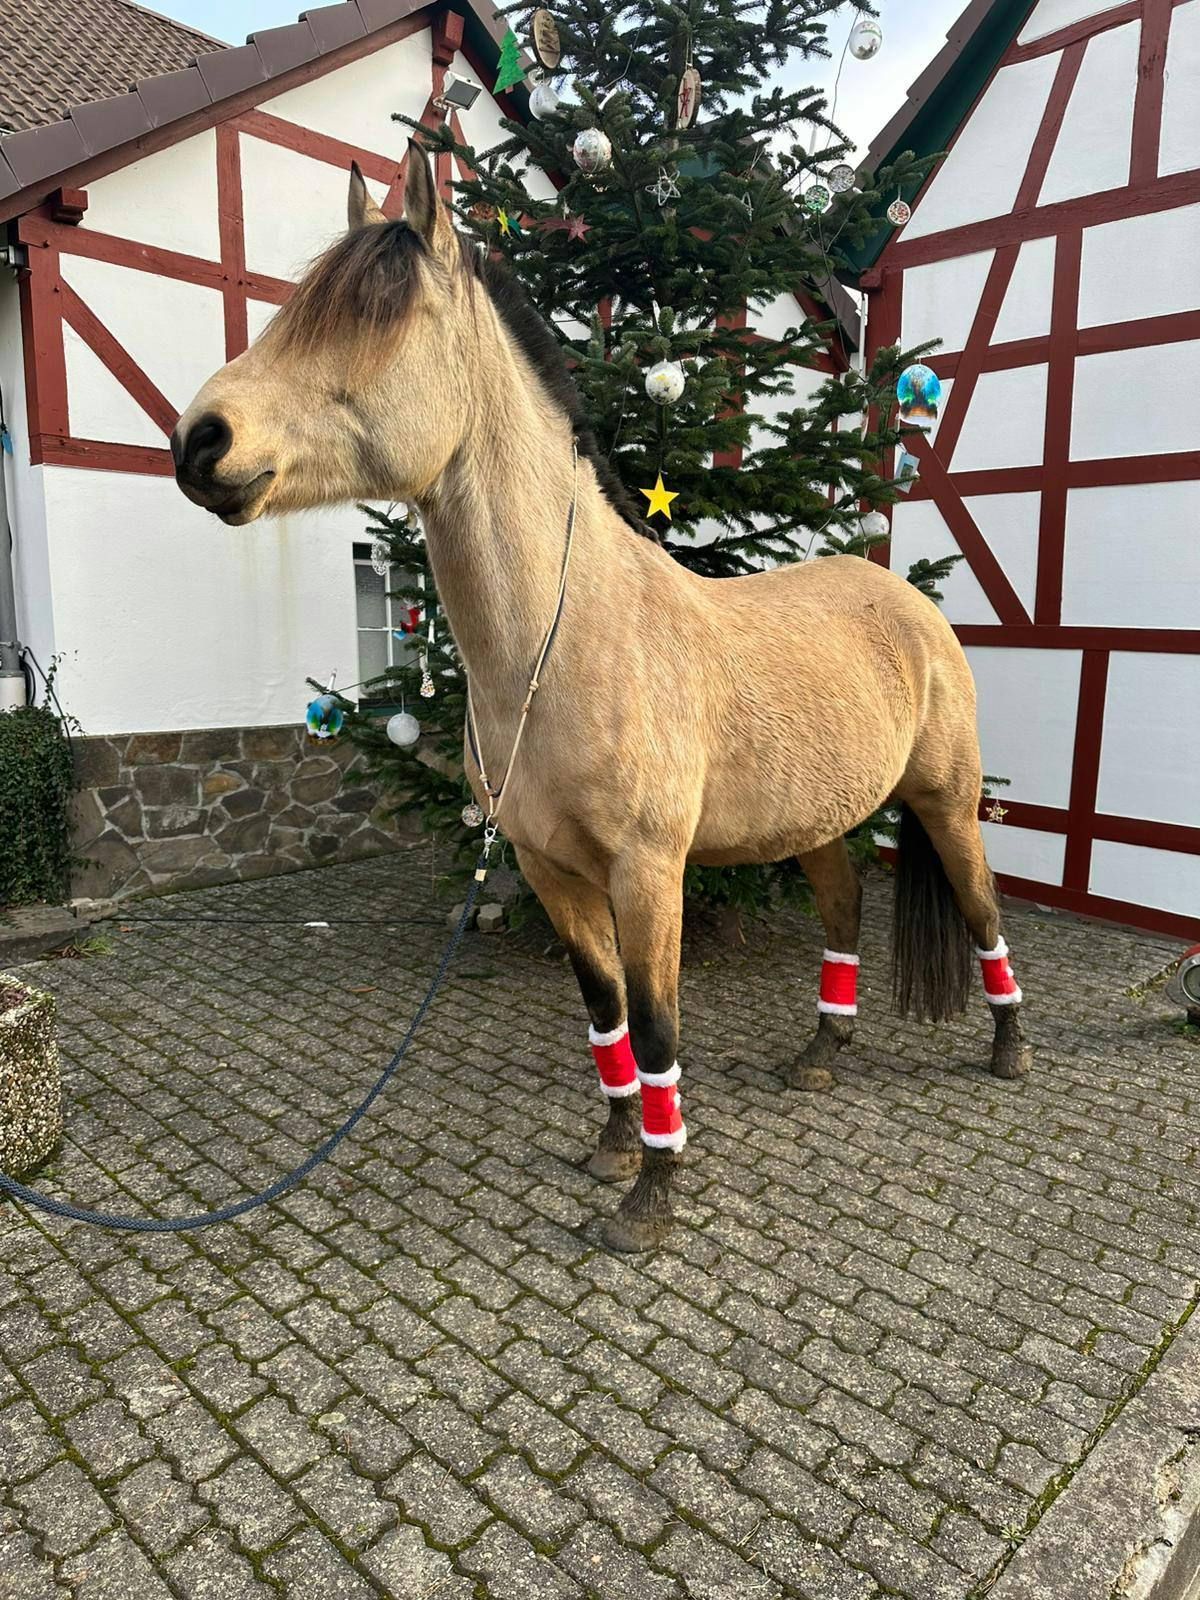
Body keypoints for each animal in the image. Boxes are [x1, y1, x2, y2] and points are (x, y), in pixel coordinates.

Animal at [172, 143, 1032, 1254]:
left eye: (374, 315)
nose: (200, 442)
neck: (566, 642)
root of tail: (909, 603)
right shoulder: (550, 871)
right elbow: (605, 1012)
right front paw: (617, 1148)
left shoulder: (647, 874)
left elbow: (659, 1026)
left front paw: (649, 1202)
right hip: (814, 821)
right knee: (844, 906)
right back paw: (819, 1055)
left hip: (944, 801)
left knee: (981, 905)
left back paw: (1010, 1050)